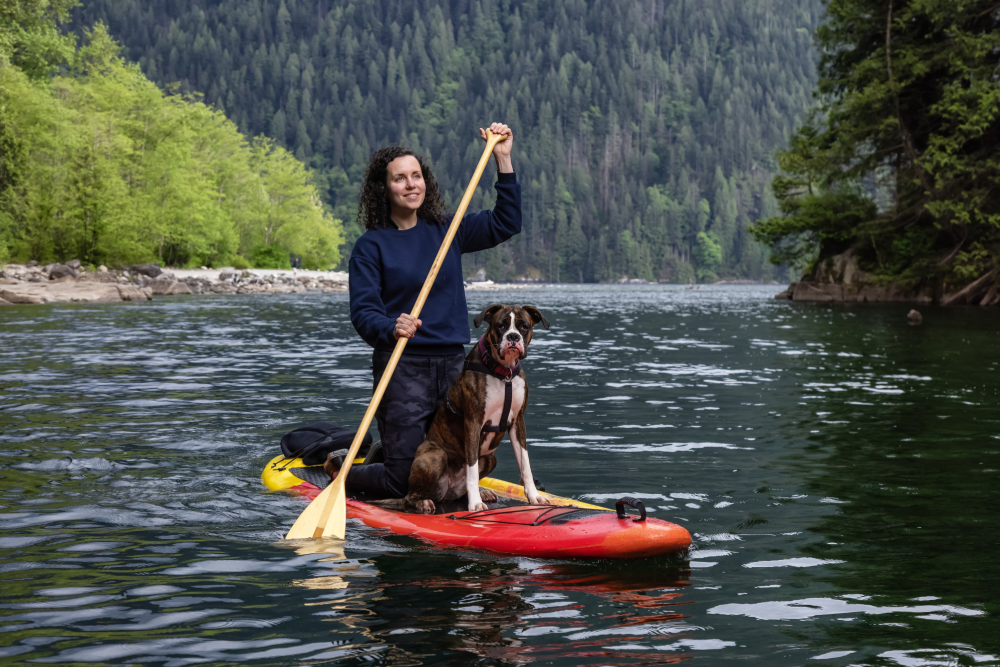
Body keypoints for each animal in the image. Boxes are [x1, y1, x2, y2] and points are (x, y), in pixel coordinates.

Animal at [390, 306, 552, 516]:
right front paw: (475, 504)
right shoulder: (474, 423)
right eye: (501, 325)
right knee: (411, 495)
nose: (513, 336)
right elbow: (472, 470)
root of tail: (446, 492)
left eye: (524, 326)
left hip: (490, 459)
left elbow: (525, 465)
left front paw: (534, 496)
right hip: (434, 457)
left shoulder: (518, 422)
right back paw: (423, 502)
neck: (503, 373)